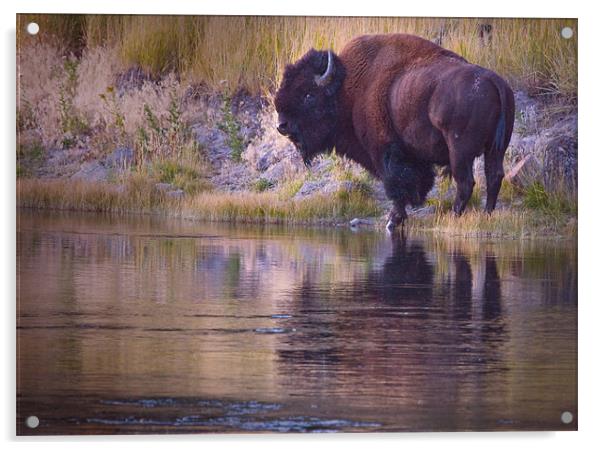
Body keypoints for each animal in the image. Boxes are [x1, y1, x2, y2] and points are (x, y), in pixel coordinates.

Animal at [274, 33, 512, 230]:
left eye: (308, 95)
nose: (282, 125)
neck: (346, 90)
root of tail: (494, 81)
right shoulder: (413, 156)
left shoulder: (384, 151)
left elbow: (395, 185)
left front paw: (393, 220)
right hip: (495, 149)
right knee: (494, 176)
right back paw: (487, 214)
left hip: (460, 151)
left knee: (465, 182)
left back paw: (453, 217)